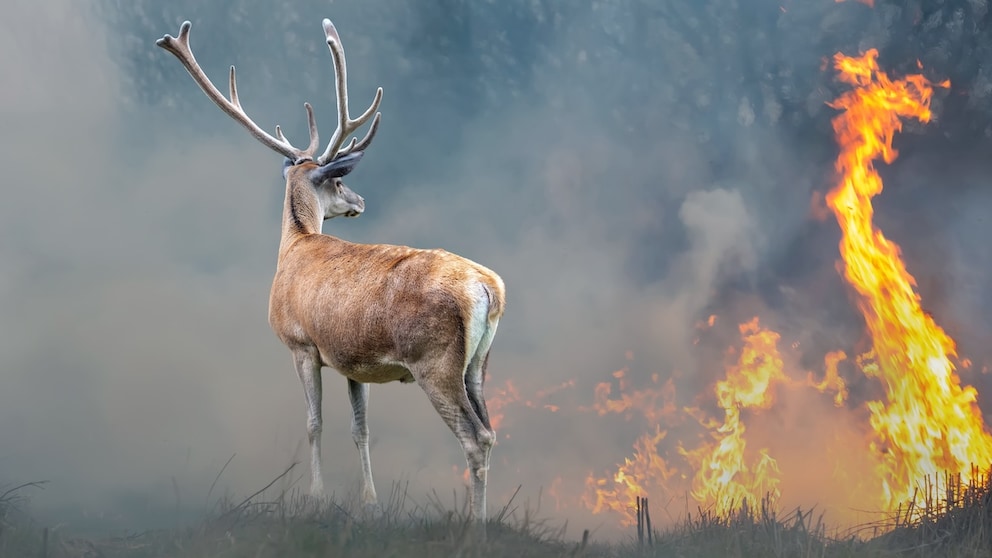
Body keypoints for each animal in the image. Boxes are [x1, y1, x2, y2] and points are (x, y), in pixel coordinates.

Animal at [156, 18, 505, 528]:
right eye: (339, 181)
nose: (360, 200)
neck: (295, 246)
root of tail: (487, 287)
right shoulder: (351, 359)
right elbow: (360, 428)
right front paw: (370, 503)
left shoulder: (301, 344)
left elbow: (314, 423)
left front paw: (316, 498)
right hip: (478, 363)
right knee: (491, 431)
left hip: (434, 360)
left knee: (475, 438)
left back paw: (476, 526)